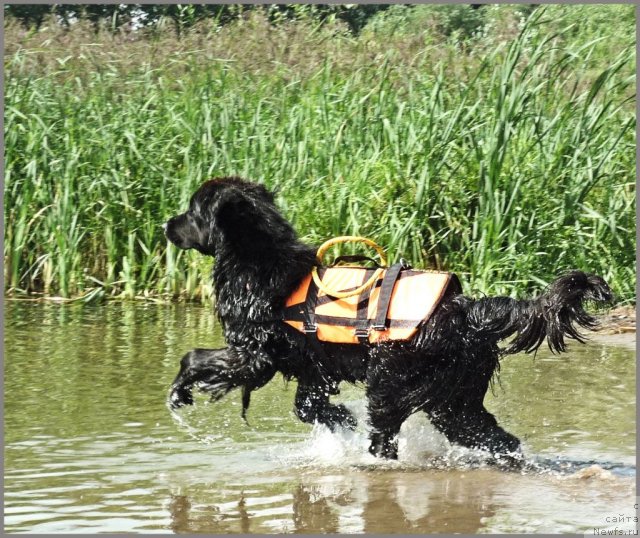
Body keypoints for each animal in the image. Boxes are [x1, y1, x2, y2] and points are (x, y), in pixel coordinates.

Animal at [162, 176, 612, 456]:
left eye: (192, 210)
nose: (167, 224)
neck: (257, 257)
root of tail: (463, 310)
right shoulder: (311, 366)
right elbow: (308, 405)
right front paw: (339, 419)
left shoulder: (253, 352)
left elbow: (195, 358)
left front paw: (179, 392)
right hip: (456, 400)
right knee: (498, 440)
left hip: (392, 382)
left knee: (386, 437)